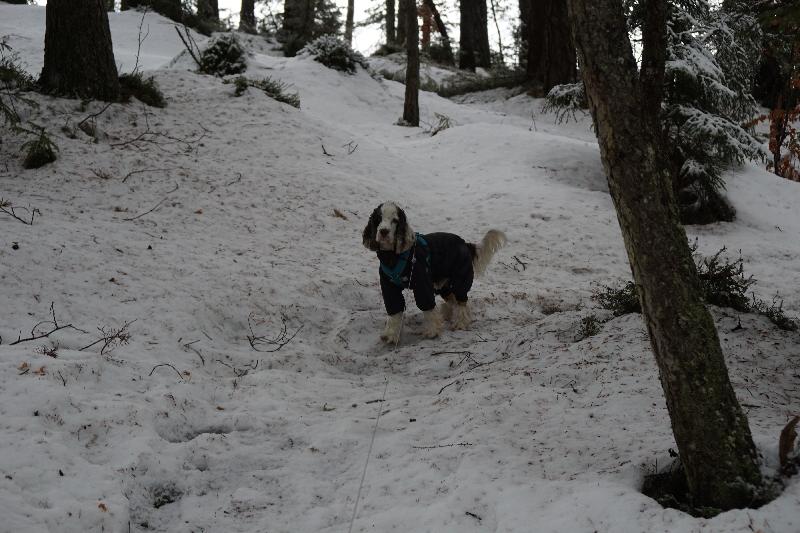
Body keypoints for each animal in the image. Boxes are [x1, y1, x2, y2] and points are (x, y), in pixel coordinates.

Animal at [362, 201, 506, 344]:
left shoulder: (422, 285)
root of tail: (465, 243)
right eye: (378, 219)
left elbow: (428, 307)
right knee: (452, 300)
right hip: (444, 285)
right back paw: (447, 315)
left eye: (395, 220)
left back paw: (460, 323)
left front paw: (432, 331)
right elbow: (394, 311)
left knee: (461, 302)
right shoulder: (389, 287)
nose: (383, 231)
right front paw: (390, 335)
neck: (393, 256)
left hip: (460, 280)